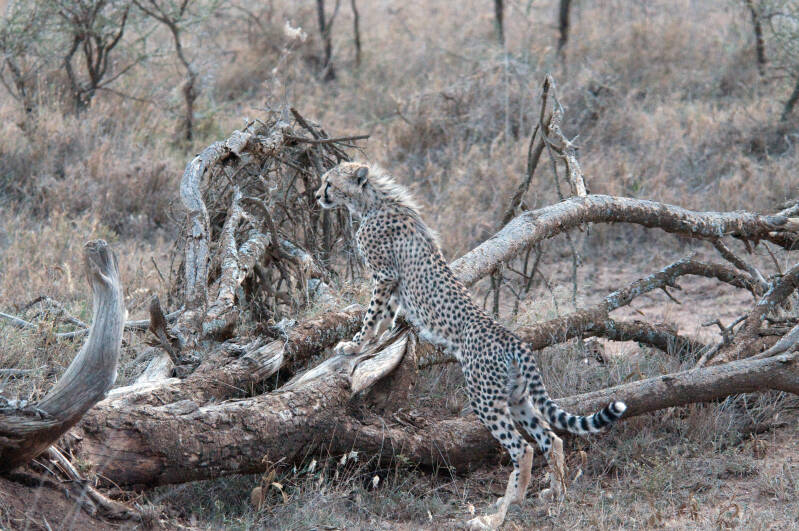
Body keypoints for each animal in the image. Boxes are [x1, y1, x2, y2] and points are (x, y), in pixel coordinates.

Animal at [315, 161, 627, 530]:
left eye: (329, 182)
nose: (317, 195)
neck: (371, 203)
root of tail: (512, 338)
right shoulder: (392, 281)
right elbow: (387, 316)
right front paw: (379, 339)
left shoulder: (385, 275)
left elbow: (372, 314)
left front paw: (354, 344)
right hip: (517, 397)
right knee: (551, 438)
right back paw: (555, 493)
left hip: (484, 397)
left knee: (522, 448)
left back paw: (500, 513)